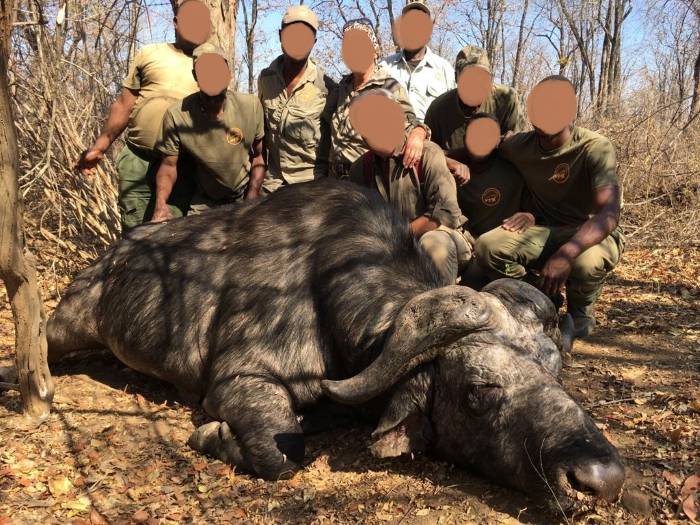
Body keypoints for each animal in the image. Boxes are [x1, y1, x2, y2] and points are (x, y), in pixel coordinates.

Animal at [47, 179, 624, 510]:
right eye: (480, 391)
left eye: (553, 375)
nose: (599, 478)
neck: (323, 288)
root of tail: (113, 257)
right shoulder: (240, 381)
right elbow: (282, 454)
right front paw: (213, 434)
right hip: (66, 325)